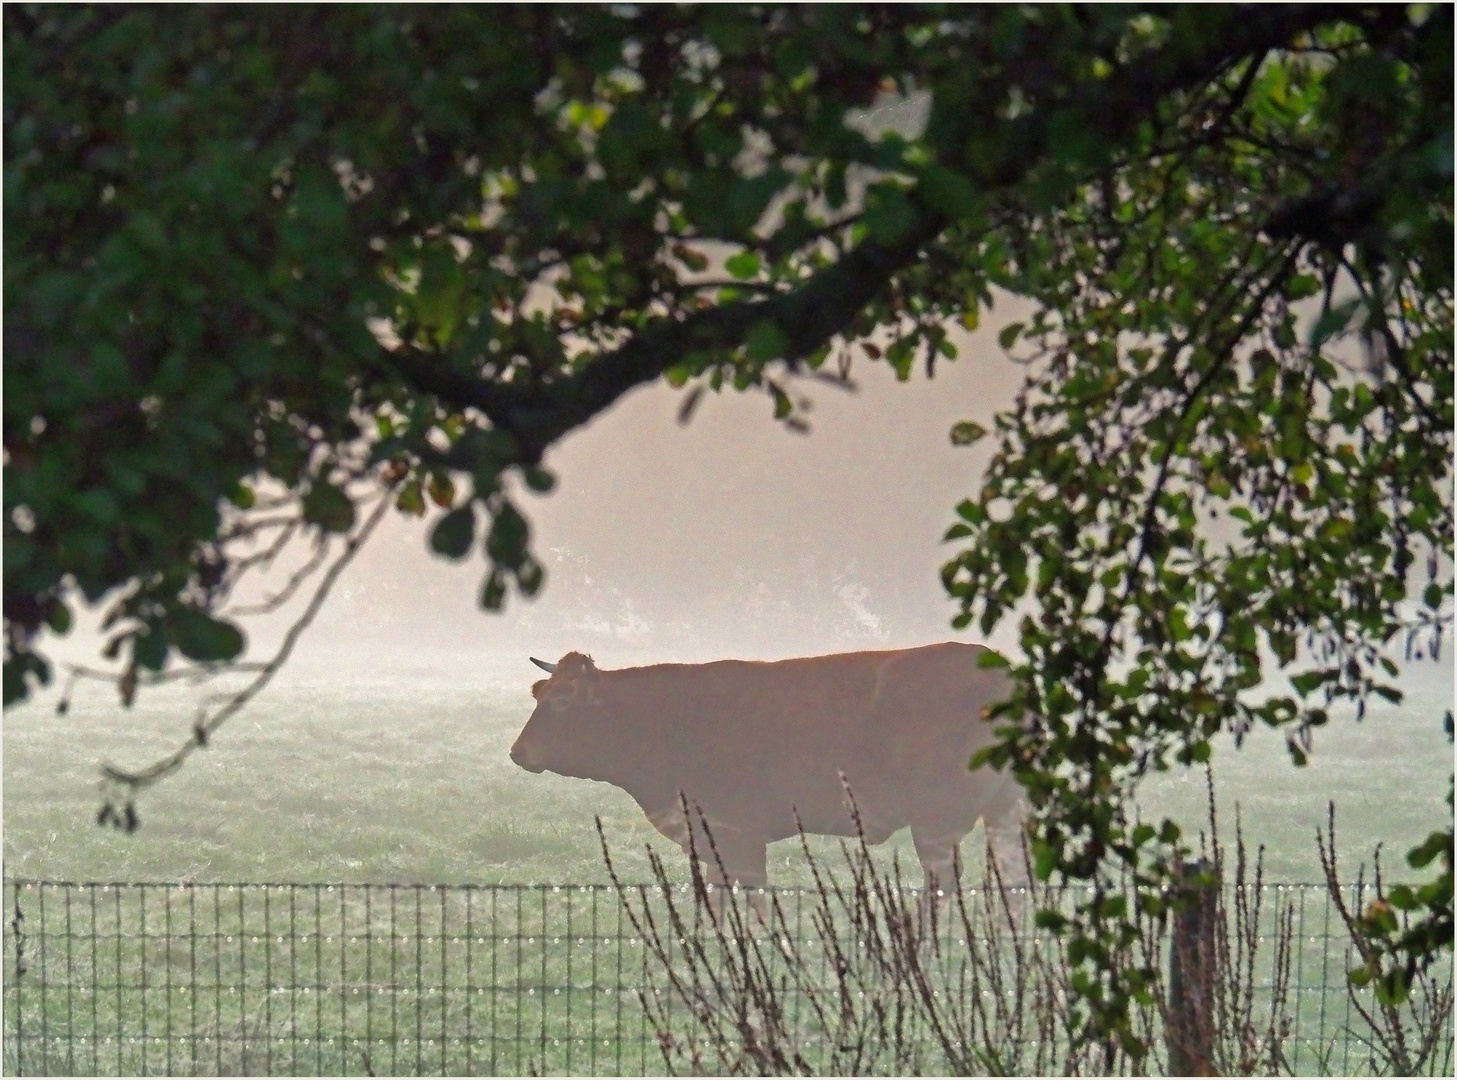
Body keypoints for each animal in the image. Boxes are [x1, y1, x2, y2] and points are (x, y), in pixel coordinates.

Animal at [509, 644, 1025, 897]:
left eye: (561, 700)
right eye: (538, 691)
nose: (518, 751)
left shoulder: (737, 834)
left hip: (939, 821)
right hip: (1004, 812)